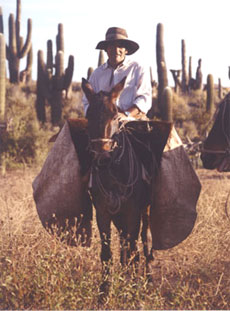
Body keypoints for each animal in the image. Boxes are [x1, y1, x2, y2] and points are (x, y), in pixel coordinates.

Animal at [81, 77, 171, 296]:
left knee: (144, 242)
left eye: (115, 115)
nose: (102, 157)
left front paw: (133, 289)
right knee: (124, 242)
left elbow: (134, 251)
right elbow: (107, 252)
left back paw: (147, 278)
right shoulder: (103, 212)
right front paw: (104, 292)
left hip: (144, 211)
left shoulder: (133, 211)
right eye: (88, 115)